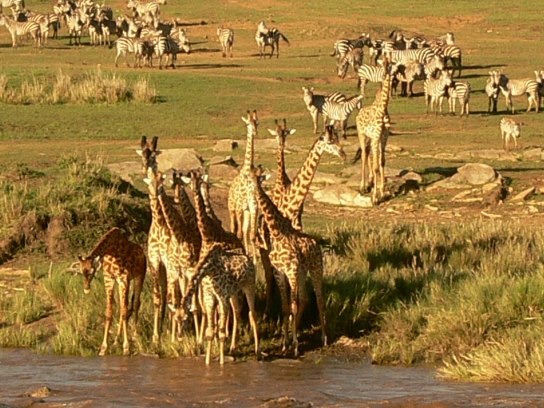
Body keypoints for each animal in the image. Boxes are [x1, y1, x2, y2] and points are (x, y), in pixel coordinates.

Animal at [77, 227, 146, 356]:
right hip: (120, 283)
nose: (86, 289)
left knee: (135, 304)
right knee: (122, 306)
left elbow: (124, 312)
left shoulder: (124, 279)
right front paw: (104, 348)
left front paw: (126, 348)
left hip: (140, 275)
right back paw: (116, 340)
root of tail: (142, 252)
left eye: (91, 270)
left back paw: (135, 336)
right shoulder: (109, 280)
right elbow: (109, 312)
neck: (112, 251)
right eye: (81, 271)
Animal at [249, 167, 327, 357]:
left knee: (320, 300)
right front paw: (285, 344)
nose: (254, 192)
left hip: (316, 269)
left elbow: (293, 305)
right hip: (301, 273)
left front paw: (296, 346)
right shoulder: (280, 271)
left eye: (259, 180)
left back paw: (324, 338)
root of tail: (316, 243)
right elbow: (286, 307)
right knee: (306, 298)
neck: (278, 233)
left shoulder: (291, 270)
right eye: (248, 178)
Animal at [355, 58, 393, 205]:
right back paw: (362, 187)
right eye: (382, 64)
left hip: (369, 138)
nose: (385, 74)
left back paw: (368, 184)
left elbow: (382, 162)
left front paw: (382, 193)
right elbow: (377, 166)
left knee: (367, 154)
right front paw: (375, 198)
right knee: (363, 155)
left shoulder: (383, 139)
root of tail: (358, 113)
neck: (382, 110)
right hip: (361, 134)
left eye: (391, 65)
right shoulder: (376, 138)